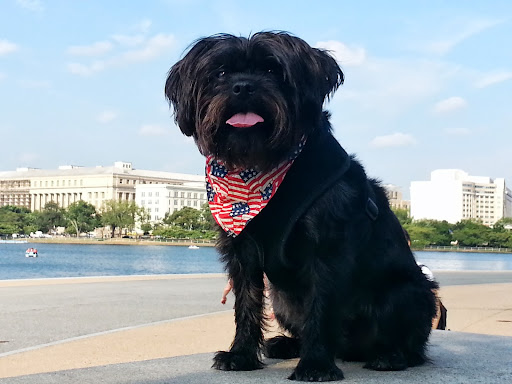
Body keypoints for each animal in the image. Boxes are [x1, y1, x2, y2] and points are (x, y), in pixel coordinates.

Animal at [164, 30, 436, 380]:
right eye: (221, 73)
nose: (243, 86)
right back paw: (286, 344)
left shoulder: (326, 249)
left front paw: (316, 363)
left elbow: (321, 308)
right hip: (282, 301)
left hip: (408, 293)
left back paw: (389, 355)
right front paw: (241, 355)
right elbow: (246, 305)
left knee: (414, 348)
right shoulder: (242, 252)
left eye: (272, 70)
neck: (261, 165)